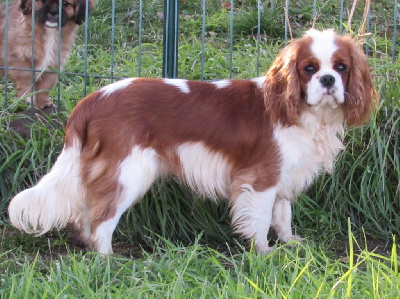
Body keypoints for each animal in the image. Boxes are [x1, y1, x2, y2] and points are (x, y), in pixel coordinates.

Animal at [9, 29, 378, 255]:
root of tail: (92, 99)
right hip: (129, 172)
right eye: (309, 69)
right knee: (102, 217)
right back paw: (108, 258)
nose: (327, 80)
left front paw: (289, 243)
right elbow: (260, 219)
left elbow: (282, 213)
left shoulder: (284, 174)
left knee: (88, 213)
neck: (305, 114)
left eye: (341, 67)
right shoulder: (260, 178)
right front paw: (264, 253)